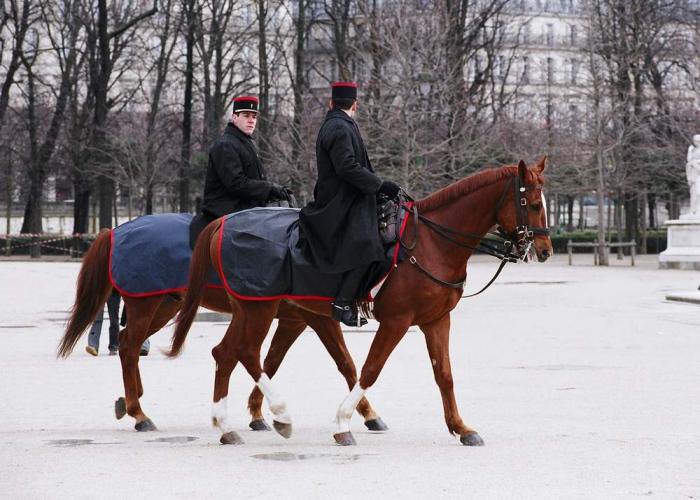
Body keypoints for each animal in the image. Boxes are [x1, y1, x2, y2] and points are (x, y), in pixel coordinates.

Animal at [56, 219, 388, 434]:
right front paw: (368, 413)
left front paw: (257, 412)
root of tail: (114, 231)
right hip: (146, 305)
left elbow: (272, 360)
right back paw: (139, 413)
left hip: (164, 307)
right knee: (128, 346)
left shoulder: (293, 319)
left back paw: (130, 400)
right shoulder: (313, 317)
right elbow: (345, 363)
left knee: (132, 344)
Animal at [168, 159, 552, 446]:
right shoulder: (395, 321)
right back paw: (279, 414)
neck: (432, 243)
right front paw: (343, 423)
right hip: (259, 309)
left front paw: (461, 427)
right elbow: (368, 368)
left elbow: (443, 374)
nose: (545, 250)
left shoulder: (436, 320)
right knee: (247, 352)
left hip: (249, 309)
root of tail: (223, 223)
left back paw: (225, 426)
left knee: (226, 353)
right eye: (533, 204)